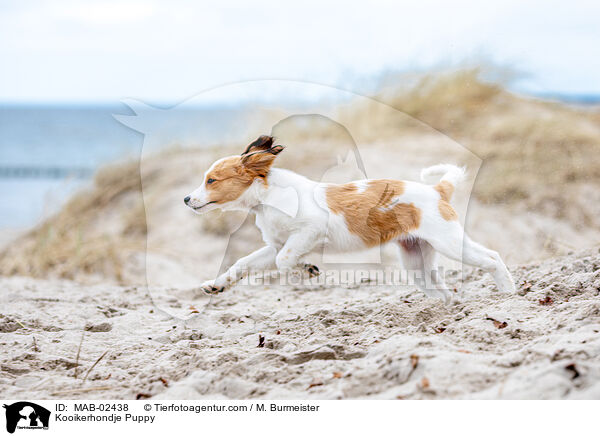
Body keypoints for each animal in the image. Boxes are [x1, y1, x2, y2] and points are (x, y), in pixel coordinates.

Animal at [184, 135, 516, 300]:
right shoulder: (276, 244)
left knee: (492, 257)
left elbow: (285, 261)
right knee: (440, 289)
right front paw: (217, 284)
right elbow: (243, 264)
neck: (268, 199)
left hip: (449, 242)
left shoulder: (309, 232)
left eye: (211, 180)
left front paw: (307, 269)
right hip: (416, 259)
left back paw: (508, 292)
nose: (186, 199)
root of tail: (437, 190)